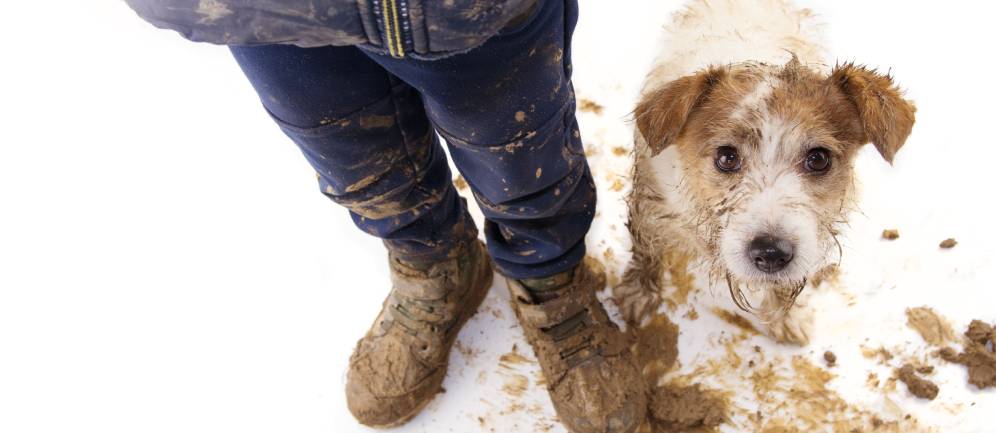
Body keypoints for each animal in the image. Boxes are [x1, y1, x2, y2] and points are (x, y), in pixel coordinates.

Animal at [616, 0, 920, 344]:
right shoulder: (652, 208)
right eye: (727, 157)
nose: (771, 253)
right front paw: (639, 295)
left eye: (819, 159)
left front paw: (788, 318)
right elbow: (647, 254)